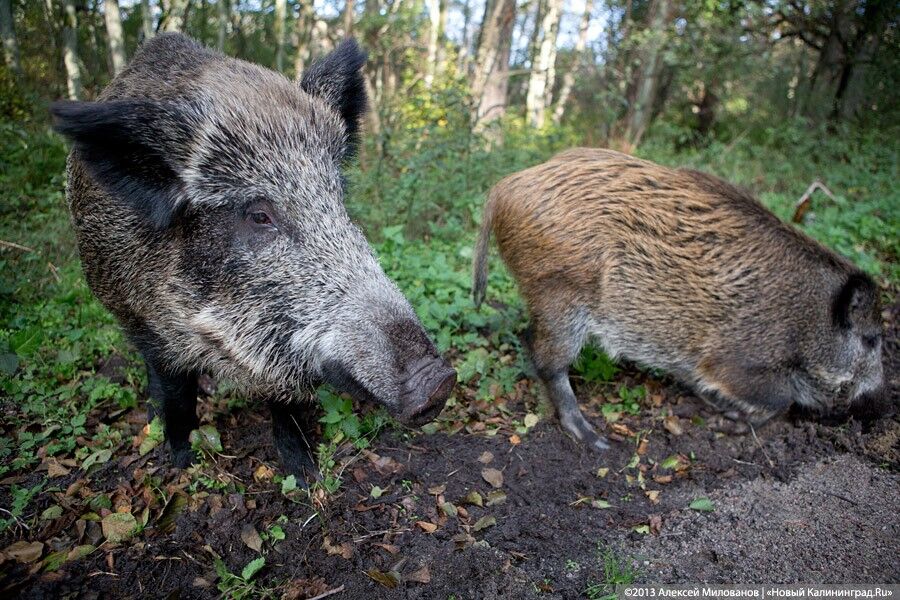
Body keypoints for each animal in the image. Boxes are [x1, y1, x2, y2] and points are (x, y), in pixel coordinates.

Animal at [51, 33, 456, 481]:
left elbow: (287, 404)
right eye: (259, 215)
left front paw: (305, 474)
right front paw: (182, 464)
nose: (439, 380)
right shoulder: (148, 321)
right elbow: (176, 394)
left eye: (337, 195)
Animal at [473, 148, 885, 451]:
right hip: (560, 294)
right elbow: (780, 398)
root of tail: (503, 188)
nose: (880, 406)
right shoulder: (731, 360)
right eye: (872, 339)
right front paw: (730, 424)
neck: (807, 319)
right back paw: (596, 440)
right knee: (546, 359)